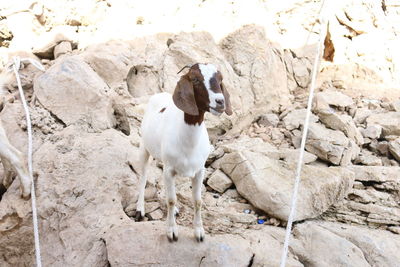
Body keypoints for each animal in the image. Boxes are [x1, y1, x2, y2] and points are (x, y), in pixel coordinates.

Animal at [136, 63, 233, 243]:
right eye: (195, 79)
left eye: (220, 79)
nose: (220, 101)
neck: (189, 143)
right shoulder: (170, 169)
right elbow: (171, 200)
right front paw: (171, 231)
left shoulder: (199, 170)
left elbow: (198, 201)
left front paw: (199, 232)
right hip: (144, 148)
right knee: (143, 176)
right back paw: (140, 210)